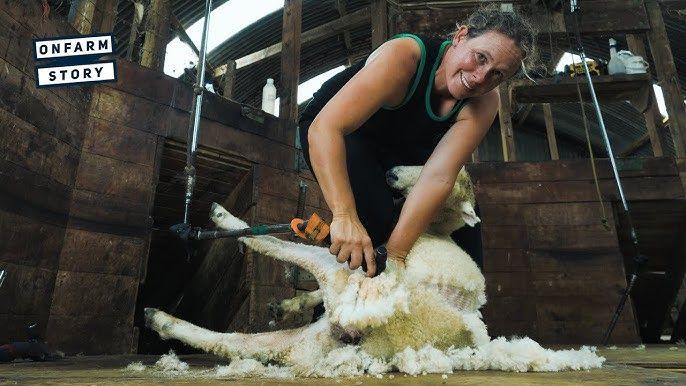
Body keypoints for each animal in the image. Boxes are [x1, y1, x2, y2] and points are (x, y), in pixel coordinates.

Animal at [146, 166, 608, 376]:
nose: (391, 172)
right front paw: (288, 304)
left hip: (340, 280)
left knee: (283, 249)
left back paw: (221, 221)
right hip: (310, 339)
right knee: (238, 343)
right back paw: (160, 319)